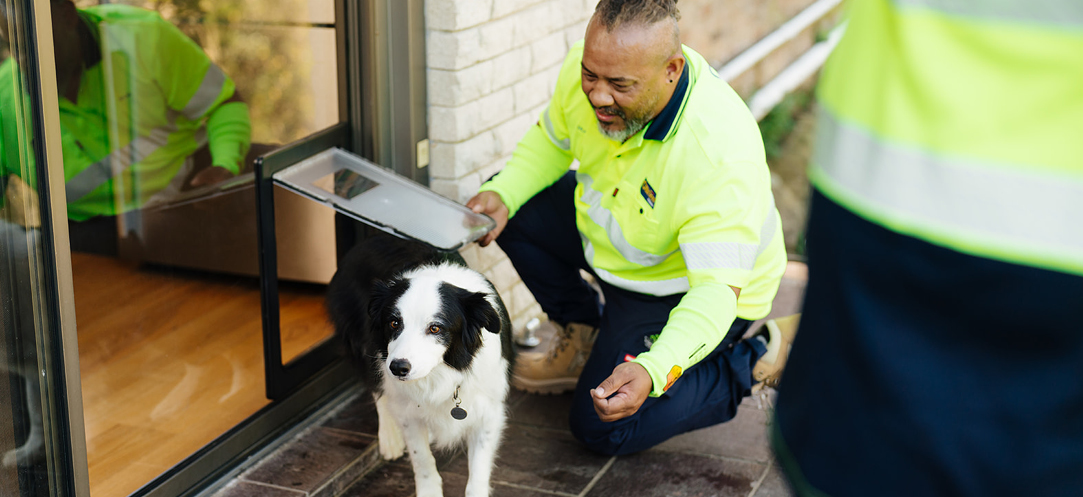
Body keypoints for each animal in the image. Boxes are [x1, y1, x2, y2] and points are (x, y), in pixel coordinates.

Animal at [327, 236, 513, 497]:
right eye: (394, 323)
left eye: (435, 328)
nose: (398, 368)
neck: (443, 372)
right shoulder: (407, 411)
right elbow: (421, 457)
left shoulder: (488, 409)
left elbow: (478, 470)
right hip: (364, 341)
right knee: (377, 388)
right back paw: (390, 437)